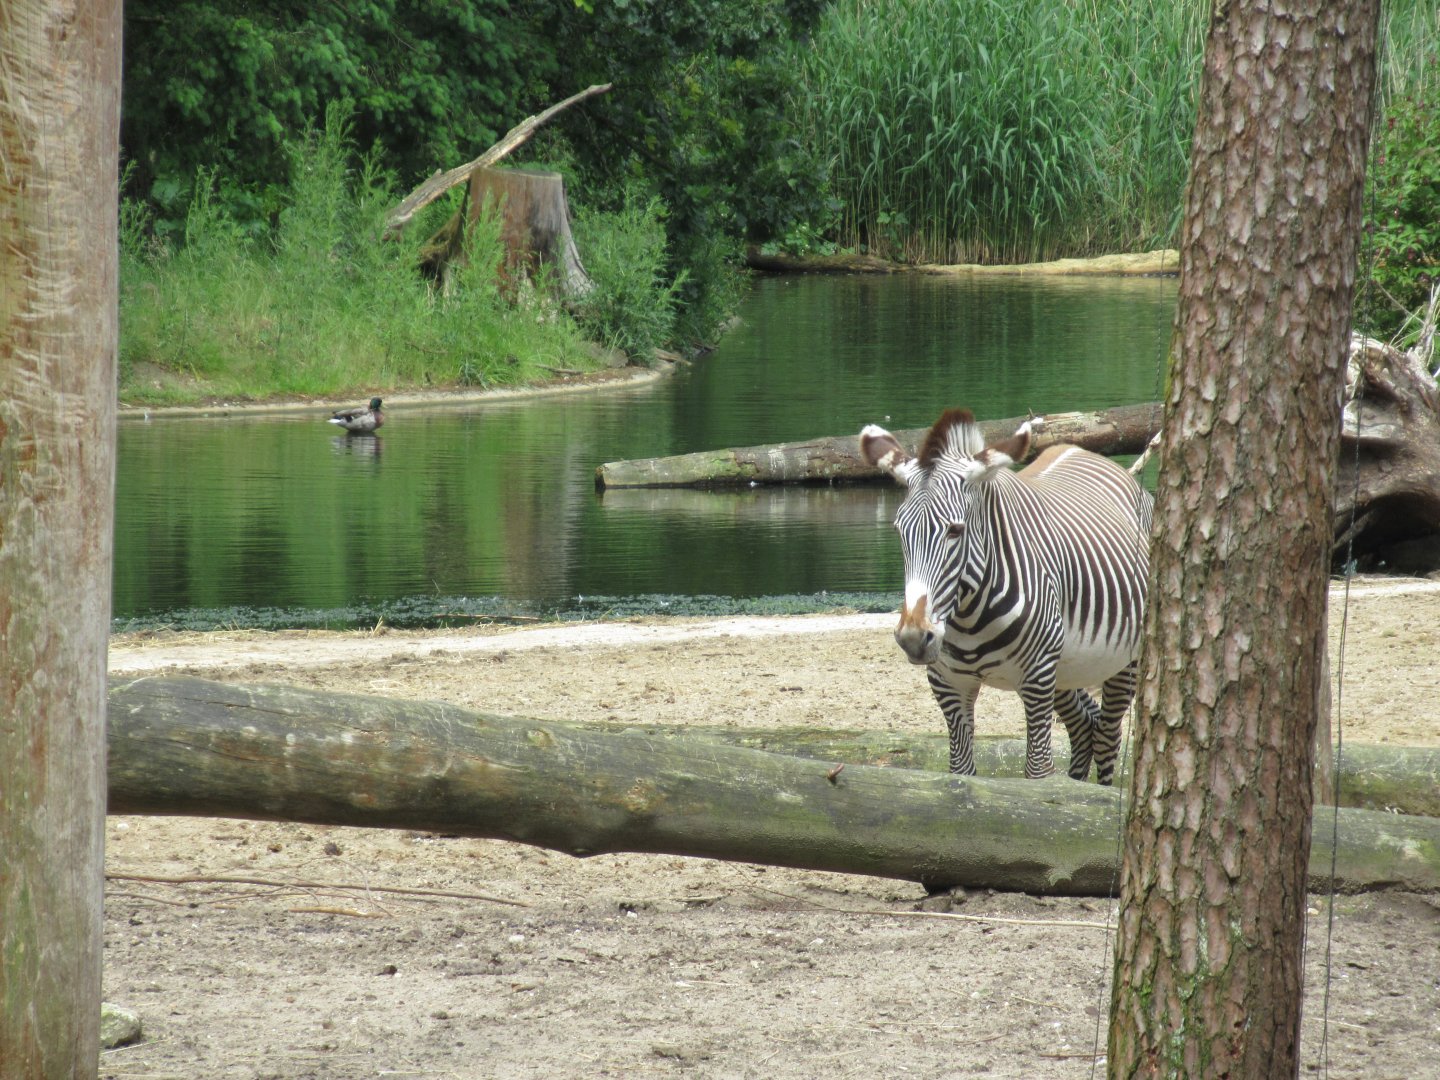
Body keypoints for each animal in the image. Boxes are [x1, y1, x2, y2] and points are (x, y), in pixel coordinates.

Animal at [860, 408, 1152, 784]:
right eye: (899, 530)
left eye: (955, 531)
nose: (913, 638)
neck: (968, 617)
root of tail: (1081, 450)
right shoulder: (948, 683)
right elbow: (961, 775)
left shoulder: (1037, 677)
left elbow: (1038, 773)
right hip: (1066, 668)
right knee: (1084, 725)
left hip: (1124, 660)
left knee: (1107, 737)